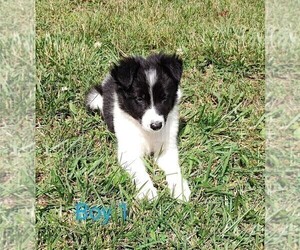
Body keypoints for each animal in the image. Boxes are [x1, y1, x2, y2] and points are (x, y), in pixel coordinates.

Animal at [85, 52, 191, 201]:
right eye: (139, 99)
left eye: (164, 98)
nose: (156, 125)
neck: (148, 133)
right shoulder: (129, 152)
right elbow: (139, 171)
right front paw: (147, 192)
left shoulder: (166, 147)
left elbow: (173, 168)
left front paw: (179, 189)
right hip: (95, 99)